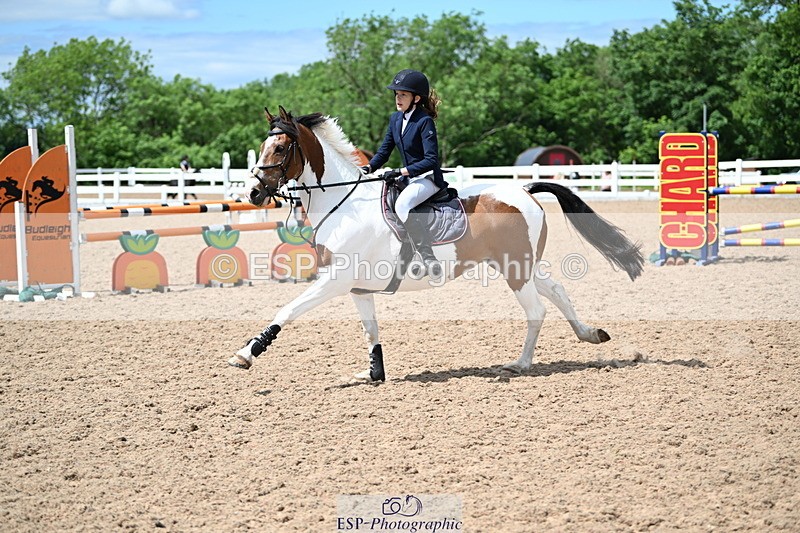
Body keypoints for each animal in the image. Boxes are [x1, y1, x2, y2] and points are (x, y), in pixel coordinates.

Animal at [229, 106, 644, 381]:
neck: (342, 203)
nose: (252, 193)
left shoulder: (335, 280)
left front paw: (247, 353)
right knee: (556, 290)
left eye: (279, 149)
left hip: (514, 270)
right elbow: (370, 329)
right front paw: (374, 373)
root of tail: (524, 188)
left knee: (537, 310)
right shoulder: (357, 287)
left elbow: (288, 309)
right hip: (519, 265)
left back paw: (521, 364)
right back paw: (589, 334)